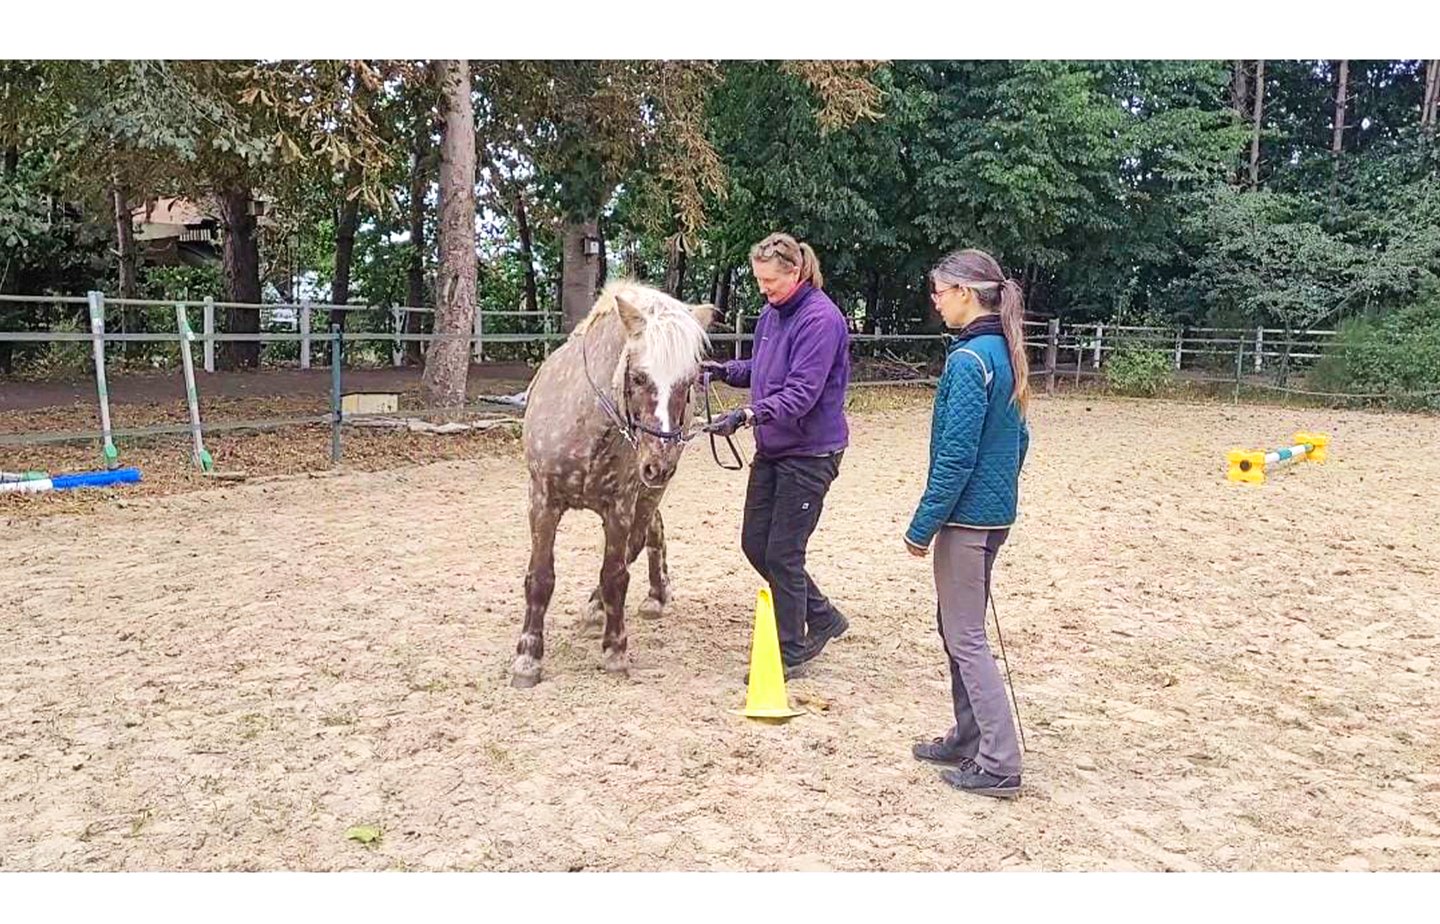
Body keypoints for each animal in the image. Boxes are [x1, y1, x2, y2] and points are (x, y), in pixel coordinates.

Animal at [511, 280, 718, 687]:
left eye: (688, 382)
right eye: (637, 377)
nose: (659, 463)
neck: (586, 425)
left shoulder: (620, 506)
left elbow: (615, 574)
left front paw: (614, 649)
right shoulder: (542, 501)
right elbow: (540, 578)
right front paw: (528, 658)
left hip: (648, 493)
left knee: (642, 538)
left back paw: (634, 600)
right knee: (654, 530)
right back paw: (652, 595)